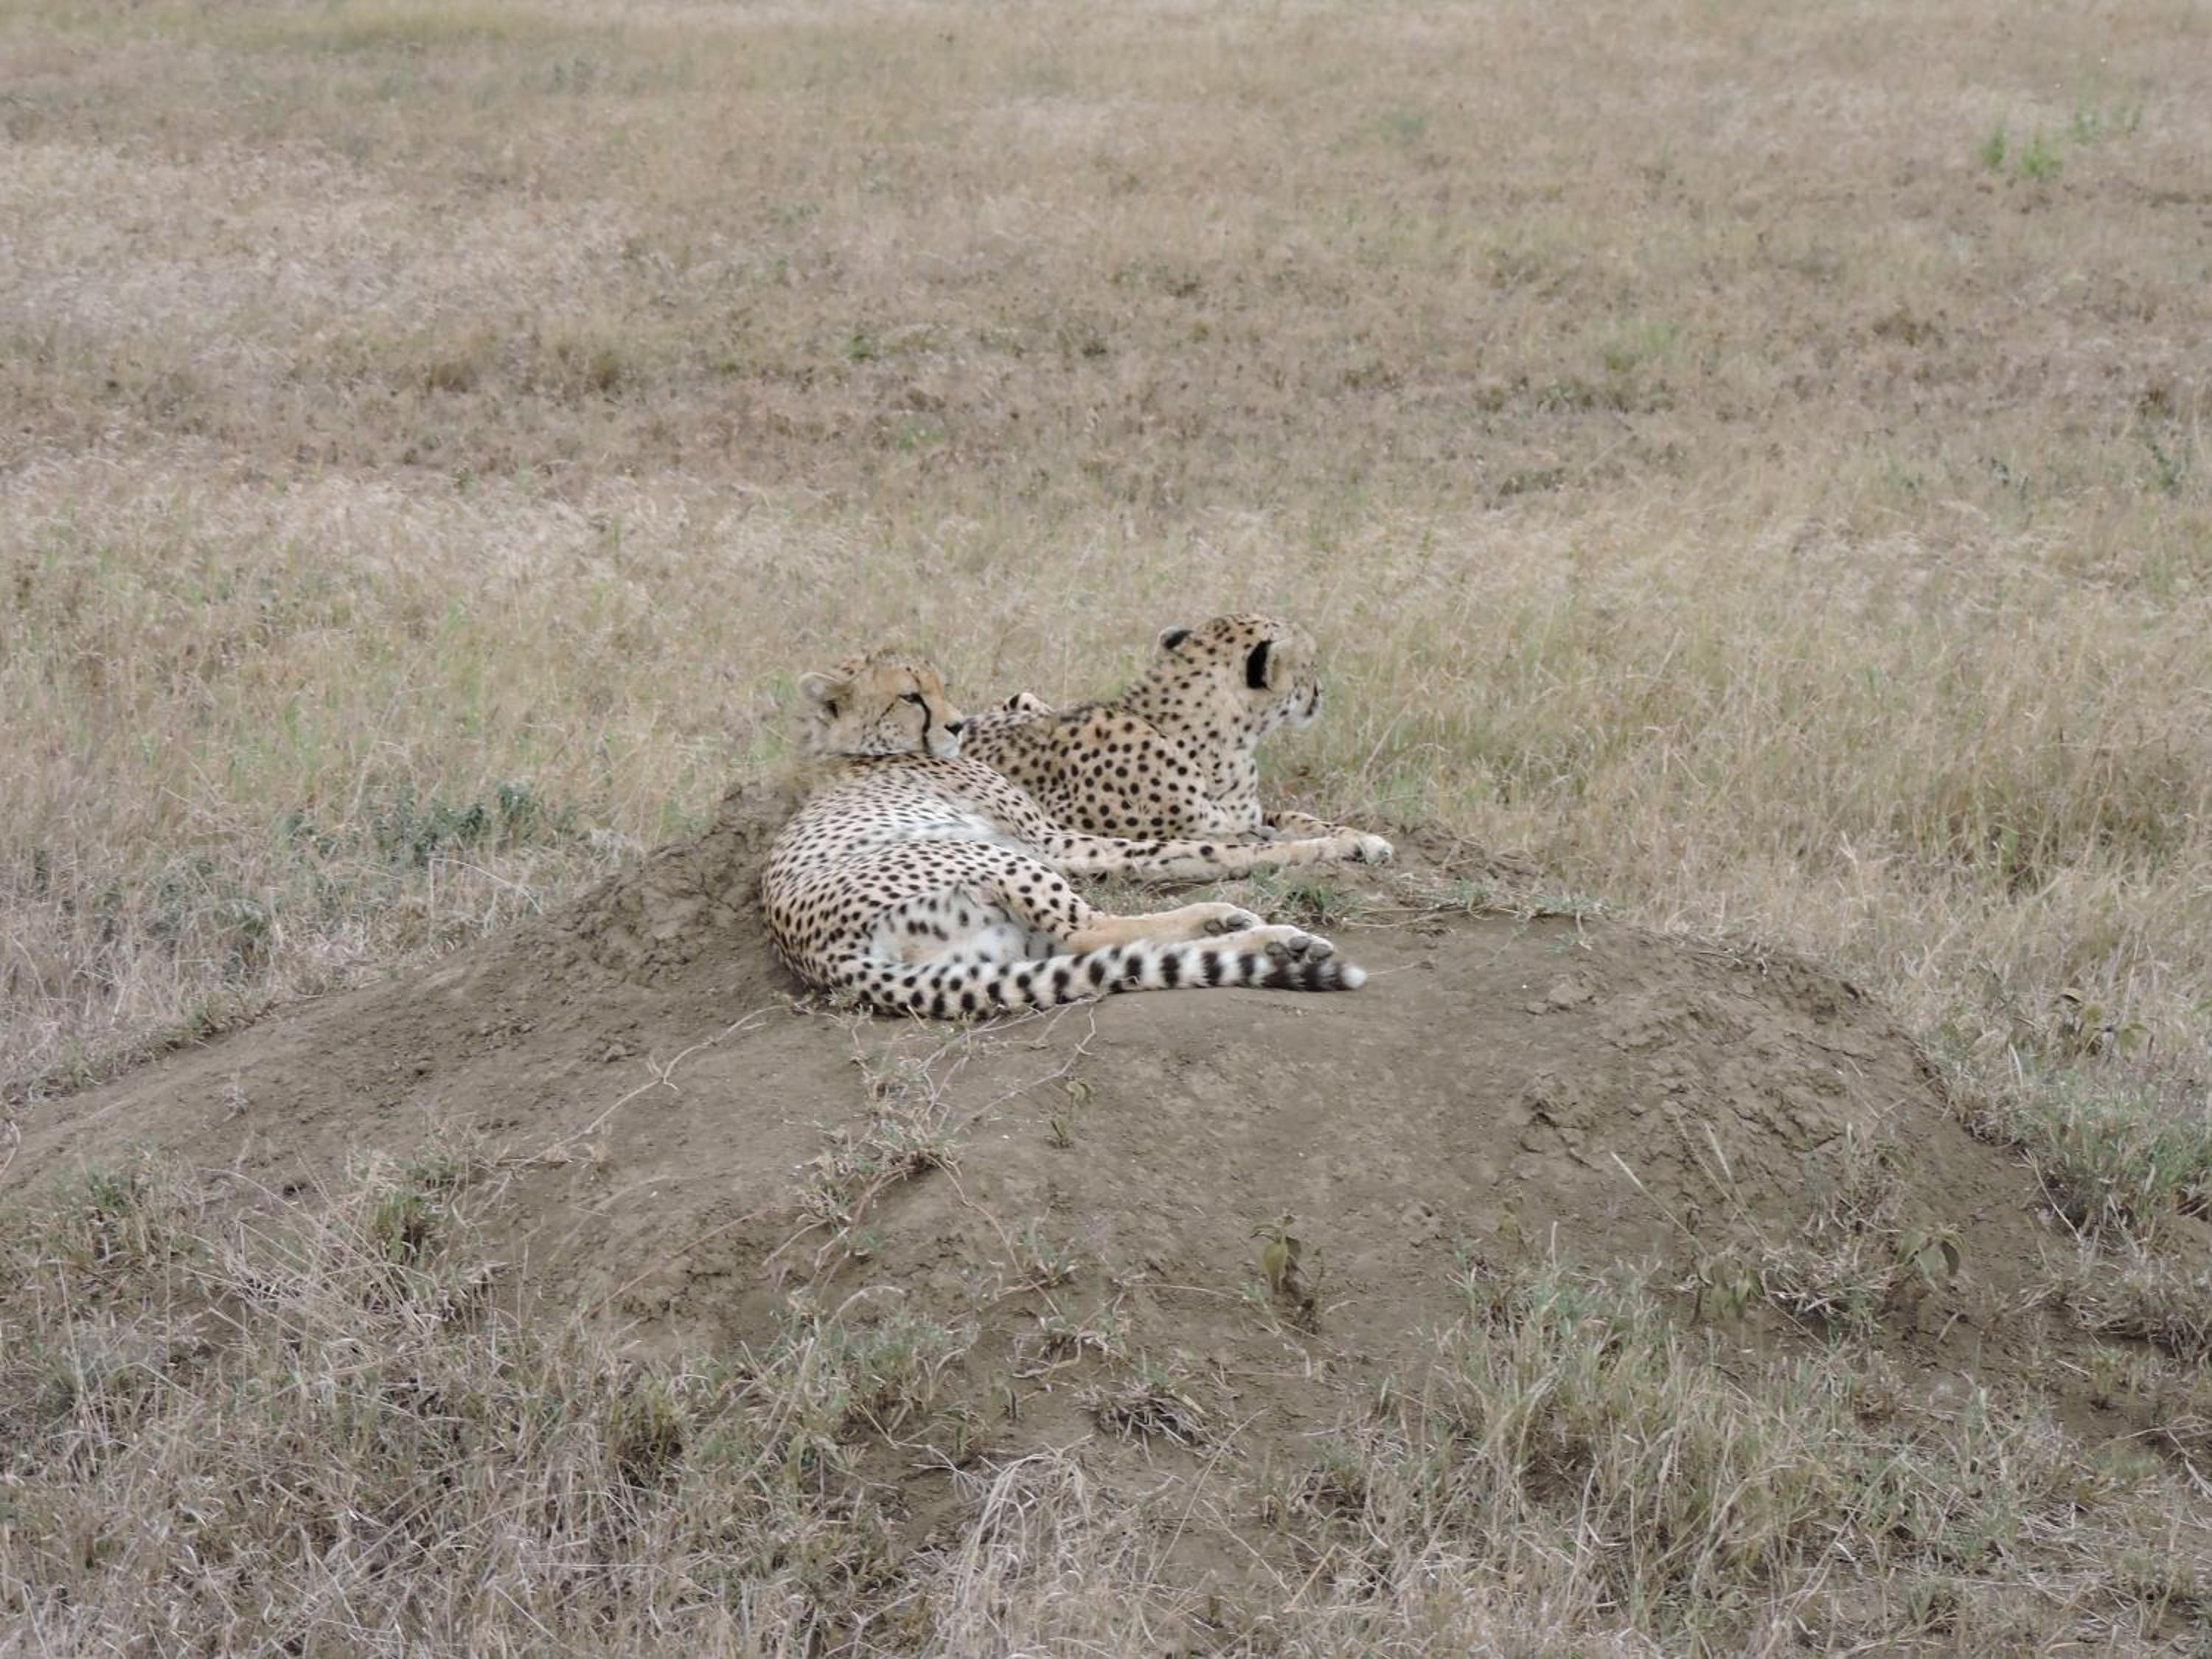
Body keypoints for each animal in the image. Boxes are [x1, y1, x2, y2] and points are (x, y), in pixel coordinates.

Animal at [760, 649, 1373, 1018]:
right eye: (910, 696)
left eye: (939, 685)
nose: (958, 725)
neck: (860, 751)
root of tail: (824, 958)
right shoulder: (1054, 843)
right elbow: (1202, 849)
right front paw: (1344, 844)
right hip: (986, 857)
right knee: (1095, 932)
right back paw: (1259, 932)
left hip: (999, 941)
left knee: (1111, 948)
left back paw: (1256, 934)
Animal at [957, 613, 1394, 860]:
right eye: (1311, 663)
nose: (1321, 691)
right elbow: (1253, 837)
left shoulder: (1246, 810)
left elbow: (1294, 816)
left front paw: (1363, 839)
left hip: (1024, 698)